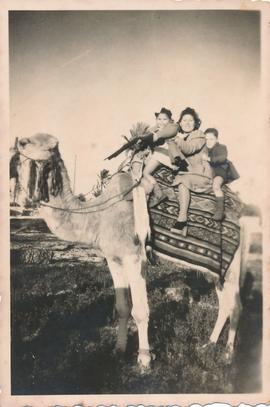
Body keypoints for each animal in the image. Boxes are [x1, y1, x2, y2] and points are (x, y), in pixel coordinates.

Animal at [13, 133, 248, 372]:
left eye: (27, 143)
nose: (17, 143)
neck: (97, 215)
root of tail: (244, 209)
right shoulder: (114, 258)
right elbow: (123, 306)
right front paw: (119, 349)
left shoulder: (134, 257)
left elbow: (140, 310)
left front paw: (144, 360)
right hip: (215, 268)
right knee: (224, 303)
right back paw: (209, 344)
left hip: (234, 261)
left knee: (237, 305)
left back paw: (228, 355)